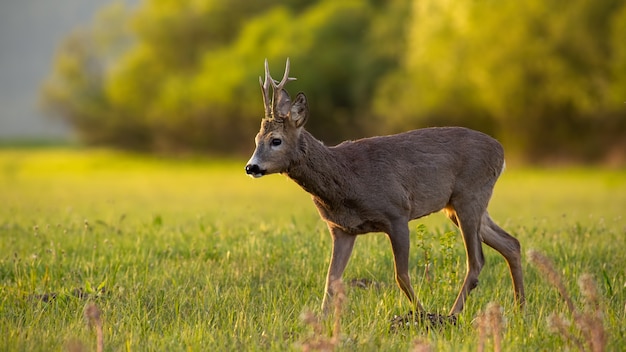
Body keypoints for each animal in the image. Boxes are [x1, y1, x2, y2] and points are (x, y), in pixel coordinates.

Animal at [244, 58, 520, 316]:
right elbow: (331, 281)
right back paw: (521, 307)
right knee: (511, 244)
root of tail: (501, 152)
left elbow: (401, 276)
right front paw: (321, 323)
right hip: (459, 205)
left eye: (276, 140)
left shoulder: (397, 212)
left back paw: (451, 315)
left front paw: (421, 315)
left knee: (476, 261)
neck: (346, 178)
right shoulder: (341, 229)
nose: (251, 167)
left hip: (469, 195)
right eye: (256, 139)